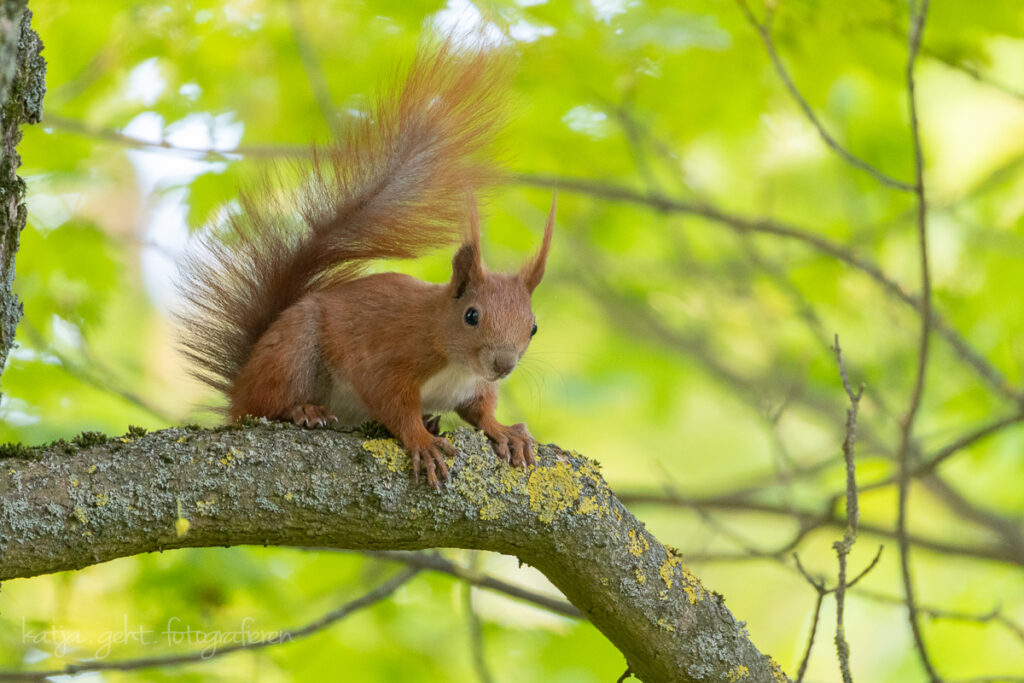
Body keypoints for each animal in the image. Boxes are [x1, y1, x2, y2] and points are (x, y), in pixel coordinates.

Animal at [176, 38, 553, 490]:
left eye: (533, 327)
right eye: (471, 315)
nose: (503, 365)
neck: (454, 360)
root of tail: (239, 385)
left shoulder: (476, 387)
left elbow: (480, 411)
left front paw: (505, 432)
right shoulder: (391, 359)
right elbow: (393, 404)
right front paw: (421, 441)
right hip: (292, 353)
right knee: (266, 406)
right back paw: (304, 411)